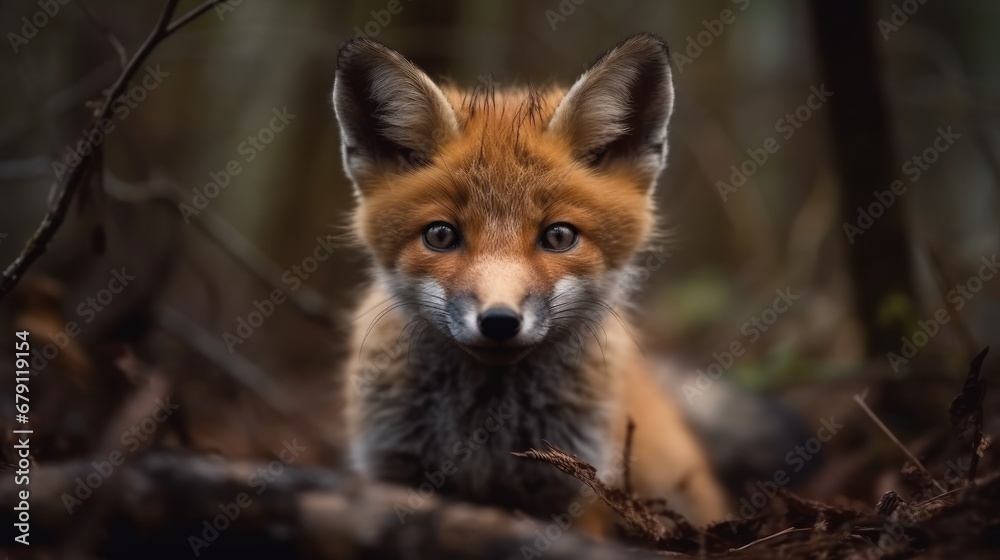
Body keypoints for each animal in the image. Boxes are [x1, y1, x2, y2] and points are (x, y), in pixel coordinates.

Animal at [332, 33, 728, 532]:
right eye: (440, 235)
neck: (485, 435)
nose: (499, 321)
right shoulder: (392, 468)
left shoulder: (575, 493)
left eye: (559, 236)